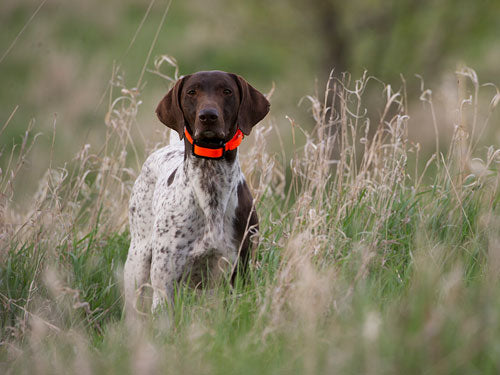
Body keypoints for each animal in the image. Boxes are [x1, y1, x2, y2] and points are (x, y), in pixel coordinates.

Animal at [123, 70, 270, 314]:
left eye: (227, 91)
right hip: (138, 259)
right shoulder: (165, 283)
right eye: (192, 92)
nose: (208, 116)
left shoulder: (238, 273)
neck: (210, 185)